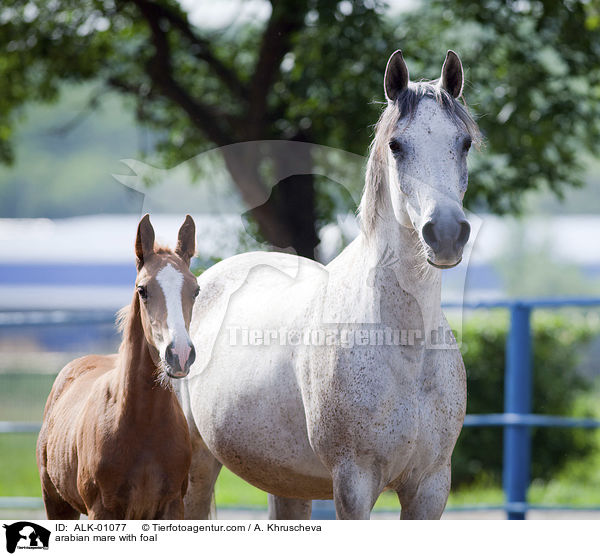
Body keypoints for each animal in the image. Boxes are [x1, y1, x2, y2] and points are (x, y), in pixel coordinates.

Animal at [36, 215, 198, 520]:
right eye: (142, 290)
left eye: (195, 290)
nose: (180, 354)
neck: (144, 423)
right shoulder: (102, 509)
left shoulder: (173, 505)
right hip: (56, 501)